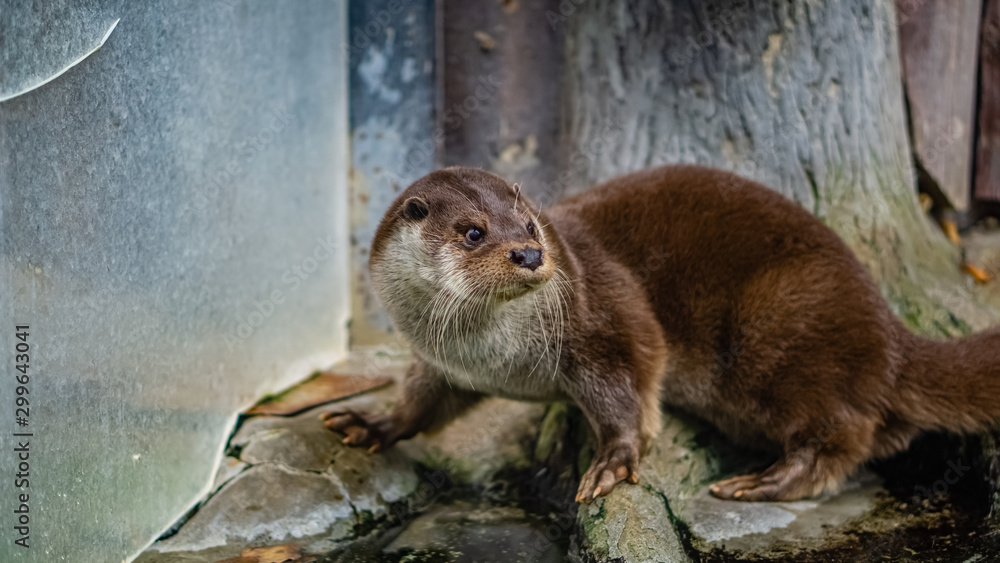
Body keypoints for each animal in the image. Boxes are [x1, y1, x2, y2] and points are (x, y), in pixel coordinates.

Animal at [323, 165, 1000, 503]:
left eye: (531, 225)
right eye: (472, 231)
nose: (530, 255)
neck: (495, 356)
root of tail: (891, 333)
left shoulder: (604, 318)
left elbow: (633, 381)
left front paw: (613, 462)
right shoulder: (447, 365)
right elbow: (422, 403)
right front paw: (371, 424)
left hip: (783, 327)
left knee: (846, 430)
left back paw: (763, 482)